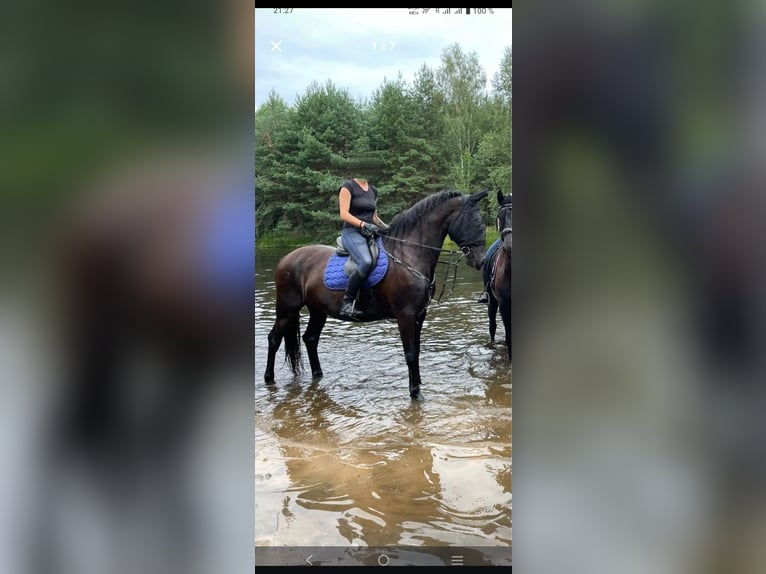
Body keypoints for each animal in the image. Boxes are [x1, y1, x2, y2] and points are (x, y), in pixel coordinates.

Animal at [264, 188, 490, 401]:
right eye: (476, 222)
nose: (480, 260)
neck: (408, 254)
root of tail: (287, 258)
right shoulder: (405, 315)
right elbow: (410, 354)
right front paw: (415, 393)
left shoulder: (419, 315)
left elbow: (416, 351)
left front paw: (418, 385)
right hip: (287, 309)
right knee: (274, 339)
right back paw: (269, 379)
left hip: (318, 310)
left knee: (310, 339)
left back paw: (318, 375)